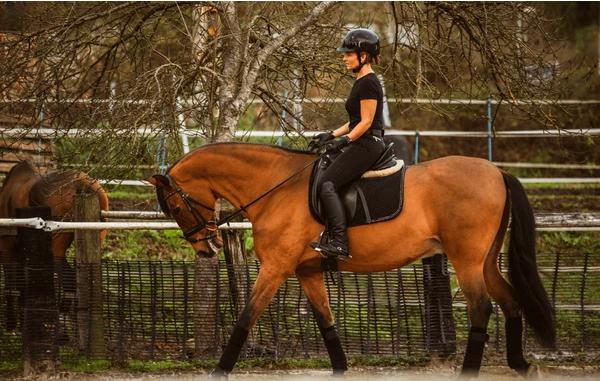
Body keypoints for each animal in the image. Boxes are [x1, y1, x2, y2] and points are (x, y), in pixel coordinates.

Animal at [0, 159, 109, 328]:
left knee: (70, 282)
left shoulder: (7, 247)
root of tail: (84, 183)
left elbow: (12, 287)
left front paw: (12, 325)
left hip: (55, 247)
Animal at [148, 142, 556, 378]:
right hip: (485, 261)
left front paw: (220, 370)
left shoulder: (275, 269)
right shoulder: (306, 271)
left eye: (175, 206)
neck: (277, 187)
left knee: (482, 309)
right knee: (511, 302)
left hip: (467, 260)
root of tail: (497, 171)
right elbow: (326, 323)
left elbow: (245, 318)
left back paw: (474, 371)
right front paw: (341, 370)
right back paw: (521, 366)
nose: (207, 248)